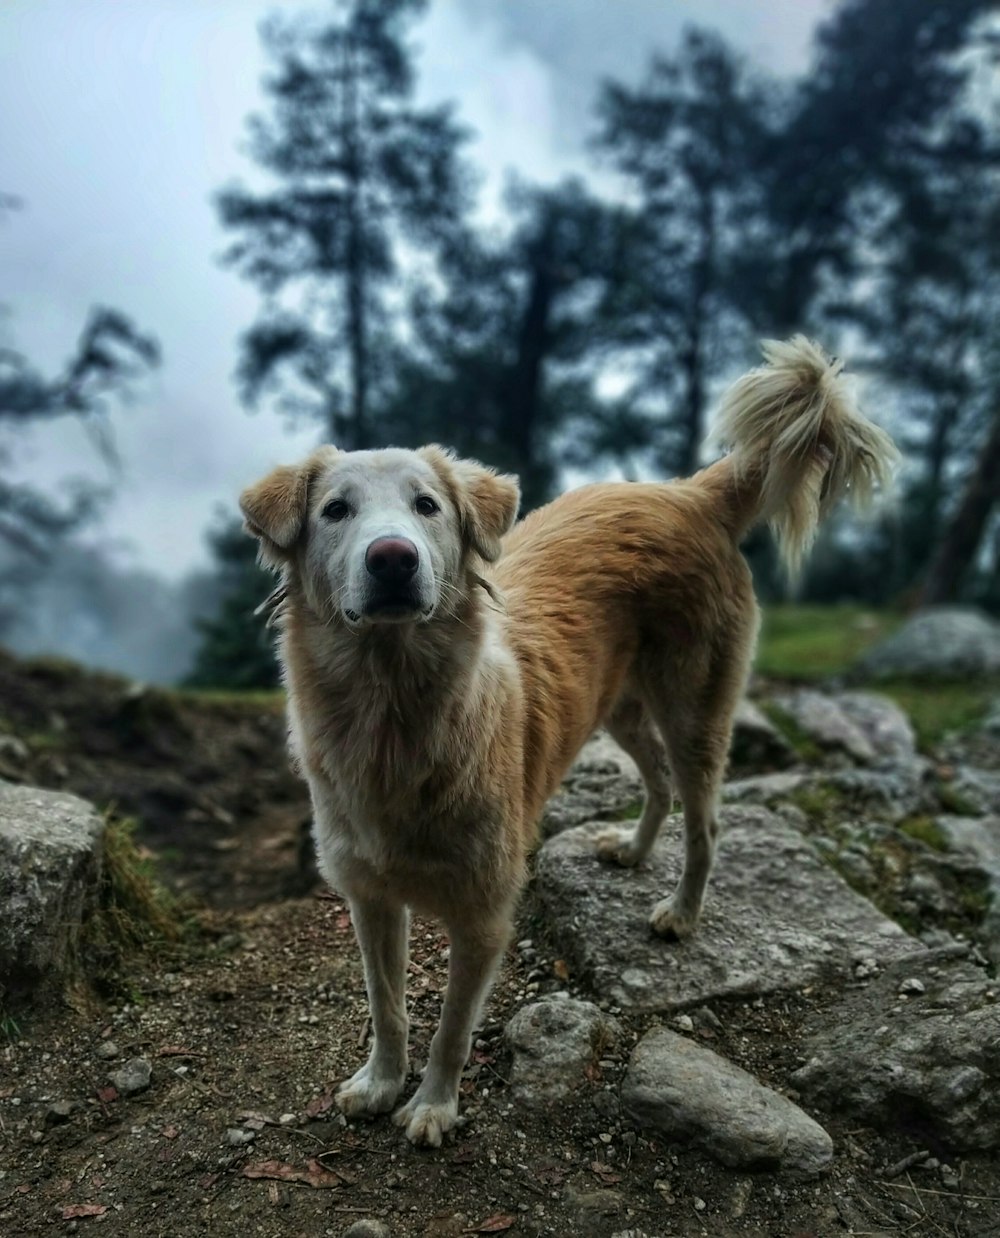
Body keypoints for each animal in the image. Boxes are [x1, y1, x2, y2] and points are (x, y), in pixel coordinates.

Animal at [240, 339, 896, 1148]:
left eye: (428, 506)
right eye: (336, 511)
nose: (393, 558)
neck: (394, 713)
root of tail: (688, 494)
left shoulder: (484, 915)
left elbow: (452, 1027)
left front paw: (433, 1105)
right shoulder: (369, 899)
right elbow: (387, 1006)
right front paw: (382, 1083)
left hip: (694, 710)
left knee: (706, 819)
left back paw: (681, 913)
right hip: (615, 706)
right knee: (658, 781)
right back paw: (635, 851)